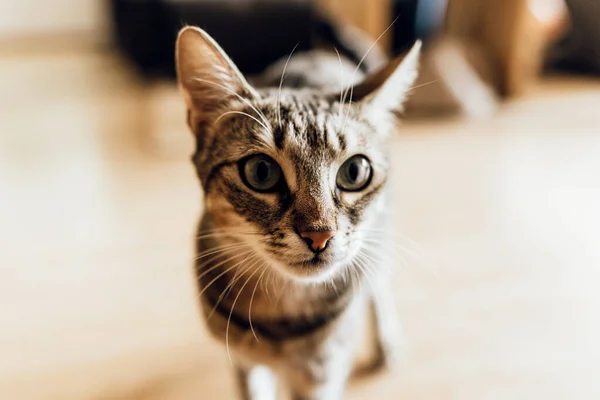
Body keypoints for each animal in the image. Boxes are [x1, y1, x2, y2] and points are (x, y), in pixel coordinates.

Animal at [176, 25, 420, 400]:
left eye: (354, 172)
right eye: (261, 172)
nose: (319, 234)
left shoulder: (320, 377)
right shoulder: (244, 364)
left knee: (378, 283)